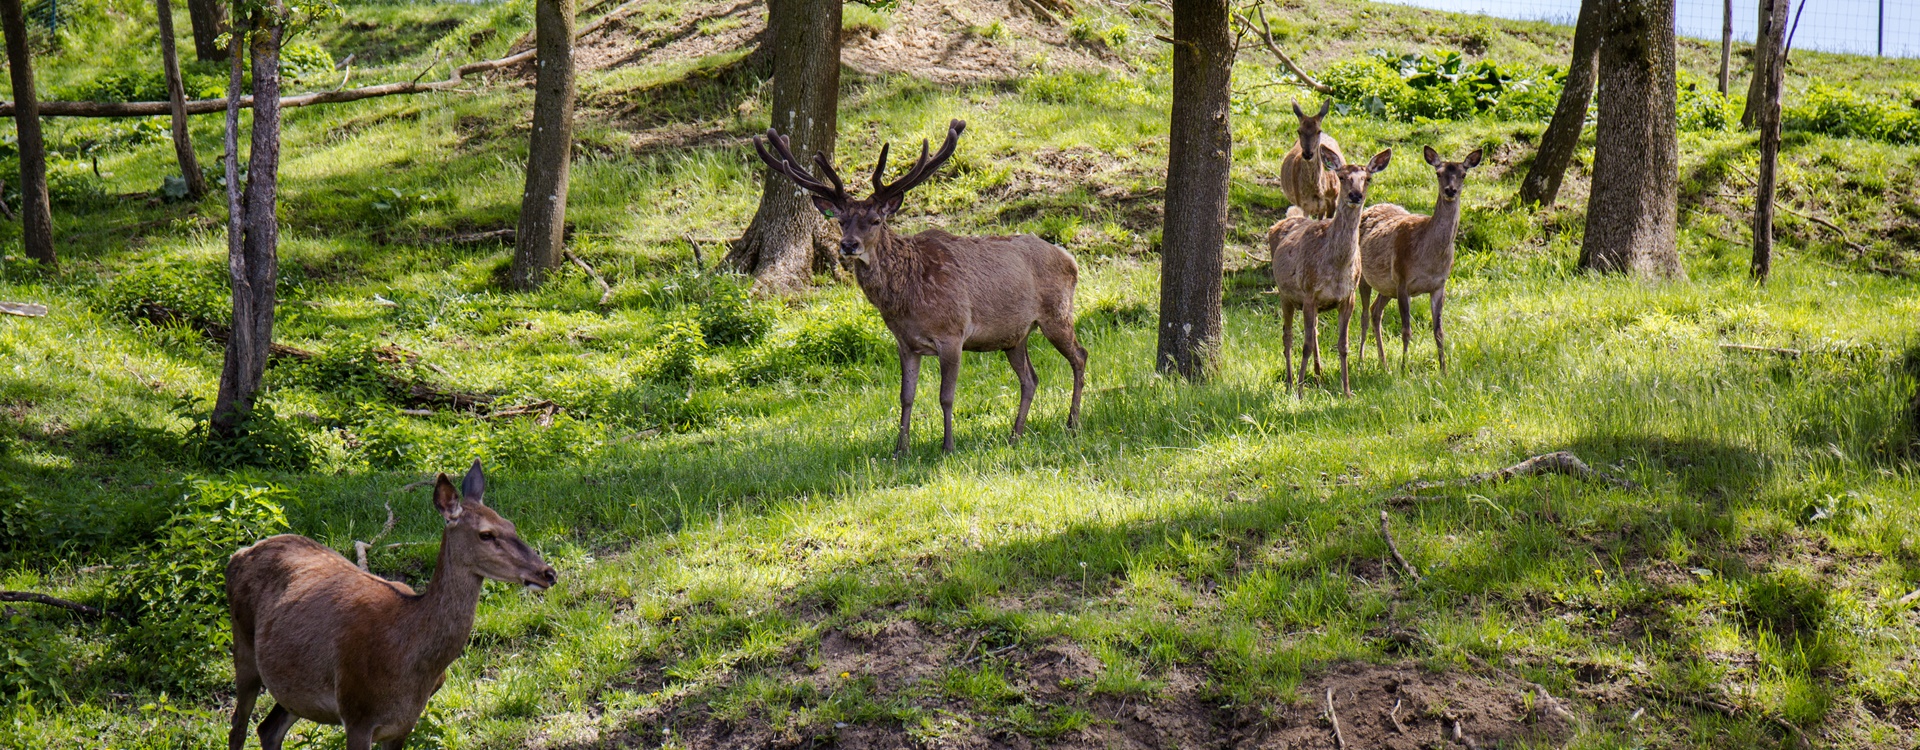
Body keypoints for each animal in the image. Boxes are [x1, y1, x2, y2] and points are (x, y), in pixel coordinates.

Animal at [226, 460, 556, 748]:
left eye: (511, 525)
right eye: (486, 534)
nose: (547, 573)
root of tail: (239, 554)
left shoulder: (404, 723)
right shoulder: (356, 713)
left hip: (294, 689)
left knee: (268, 729)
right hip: (243, 645)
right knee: (238, 726)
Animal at [748, 120, 1090, 454]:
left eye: (875, 221)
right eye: (841, 221)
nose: (848, 245)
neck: (907, 299)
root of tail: (1070, 258)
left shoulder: (952, 333)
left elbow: (946, 396)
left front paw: (948, 446)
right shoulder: (906, 343)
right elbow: (905, 396)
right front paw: (901, 450)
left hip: (1057, 313)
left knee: (1080, 355)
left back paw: (1072, 423)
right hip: (1013, 336)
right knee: (1030, 378)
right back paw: (1015, 435)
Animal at [1267, 142, 1390, 397]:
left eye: (1368, 178)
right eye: (1342, 177)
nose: (1355, 195)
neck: (1336, 266)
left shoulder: (1347, 297)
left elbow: (1343, 345)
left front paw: (1347, 390)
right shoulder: (1308, 293)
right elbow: (1303, 345)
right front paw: (1300, 392)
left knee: (1313, 331)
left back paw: (1318, 373)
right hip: (1285, 294)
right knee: (1288, 336)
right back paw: (1291, 381)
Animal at [1351, 145, 1482, 374]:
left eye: (1463, 174)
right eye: (1438, 173)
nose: (1450, 190)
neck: (1429, 260)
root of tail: (1371, 207)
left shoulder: (1439, 285)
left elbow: (1439, 331)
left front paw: (1444, 369)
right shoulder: (1403, 280)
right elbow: (1406, 330)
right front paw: (1404, 369)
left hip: (1387, 287)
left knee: (1376, 311)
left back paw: (1384, 363)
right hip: (1366, 277)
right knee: (1365, 315)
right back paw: (1361, 361)